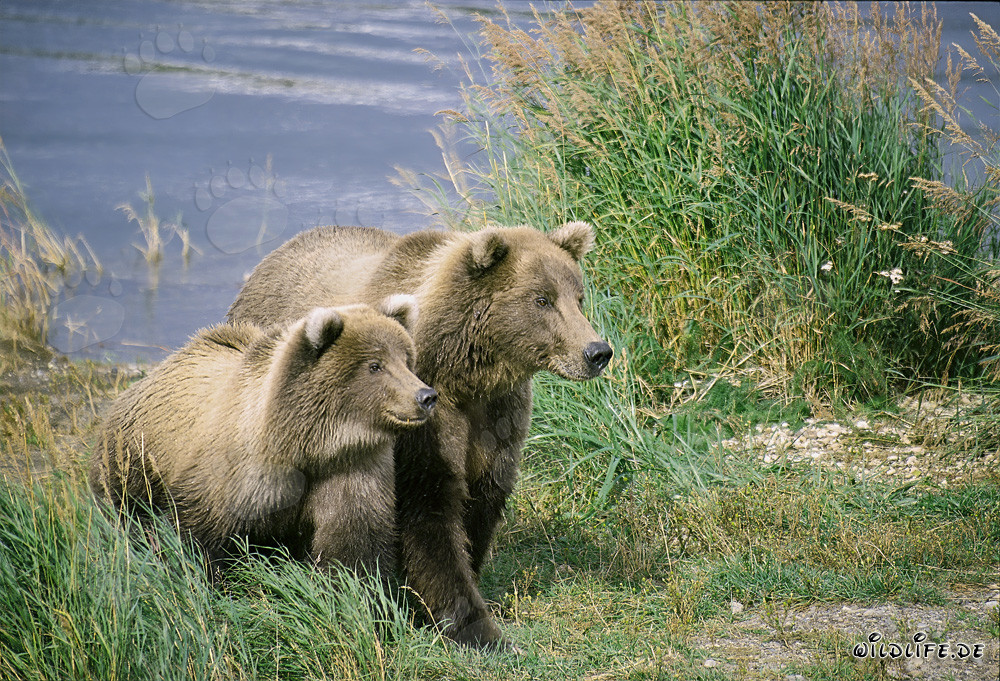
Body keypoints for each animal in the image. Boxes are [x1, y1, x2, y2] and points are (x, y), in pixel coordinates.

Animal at [90, 296, 437, 577]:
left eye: (406, 359)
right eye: (375, 365)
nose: (425, 396)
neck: (307, 445)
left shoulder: (351, 470)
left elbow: (354, 545)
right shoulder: (236, 475)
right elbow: (202, 539)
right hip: (134, 456)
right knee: (128, 509)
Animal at [227, 222, 612, 649]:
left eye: (578, 298)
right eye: (542, 299)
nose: (597, 351)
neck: (468, 373)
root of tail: (271, 258)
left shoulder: (498, 416)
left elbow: (483, 497)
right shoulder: (421, 413)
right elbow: (430, 507)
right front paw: (474, 627)